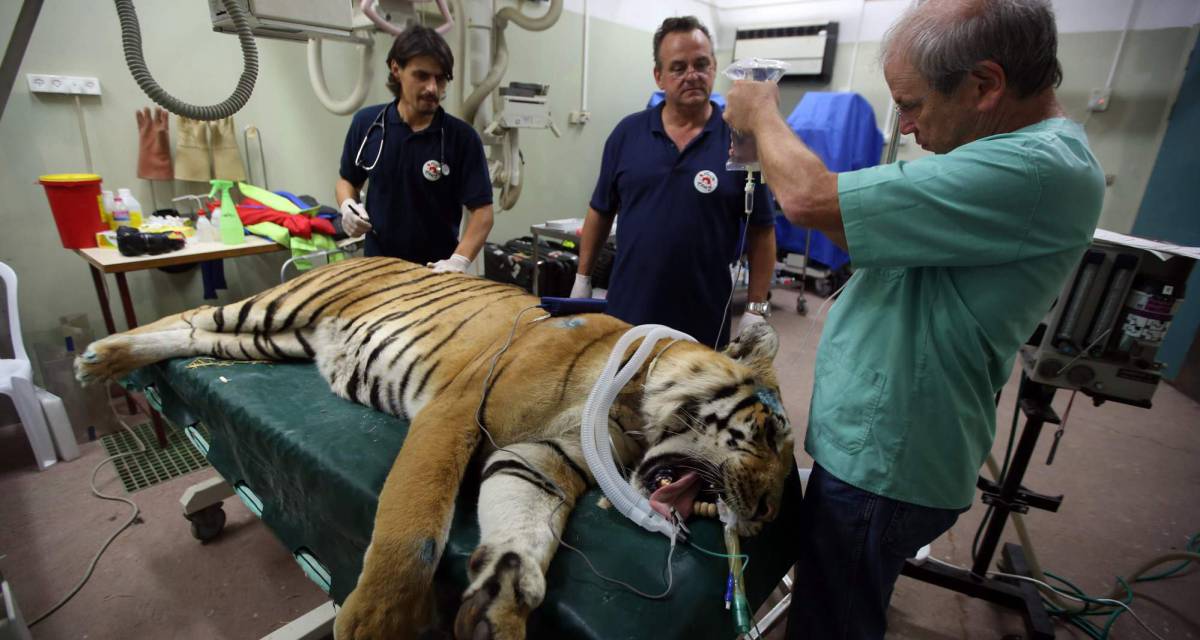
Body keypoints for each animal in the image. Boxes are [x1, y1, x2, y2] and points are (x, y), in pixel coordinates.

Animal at [75, 256, 793, 640]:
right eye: (770, 433)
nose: (764, 516)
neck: (625, 418)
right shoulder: (457, 412)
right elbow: (414, 521)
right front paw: (377, 619)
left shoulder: (541, 459)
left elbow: (521, 530)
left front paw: (501, 604)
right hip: (275, 309)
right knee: (187, 316)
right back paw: (100, 356)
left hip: (270, 341)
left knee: (194, 332)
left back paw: (110, 359)